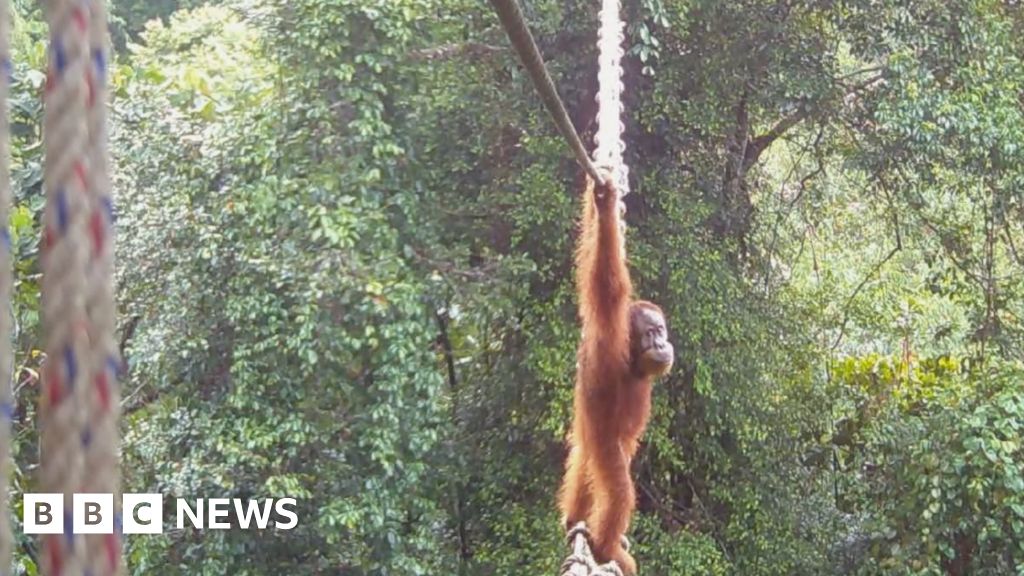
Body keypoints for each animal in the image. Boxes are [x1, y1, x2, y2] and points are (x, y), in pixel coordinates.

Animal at [557, 170, 673, 575]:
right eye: (651, 334)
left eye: (662, 331)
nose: (663, 343)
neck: (633, 361)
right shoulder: (610, 331)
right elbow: (606, 279)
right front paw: (606, 205)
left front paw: (599, 201)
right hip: (604, 446)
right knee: (619, 490)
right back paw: (605, 547)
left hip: (588, 442)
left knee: (582, 466)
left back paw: (575, 521)